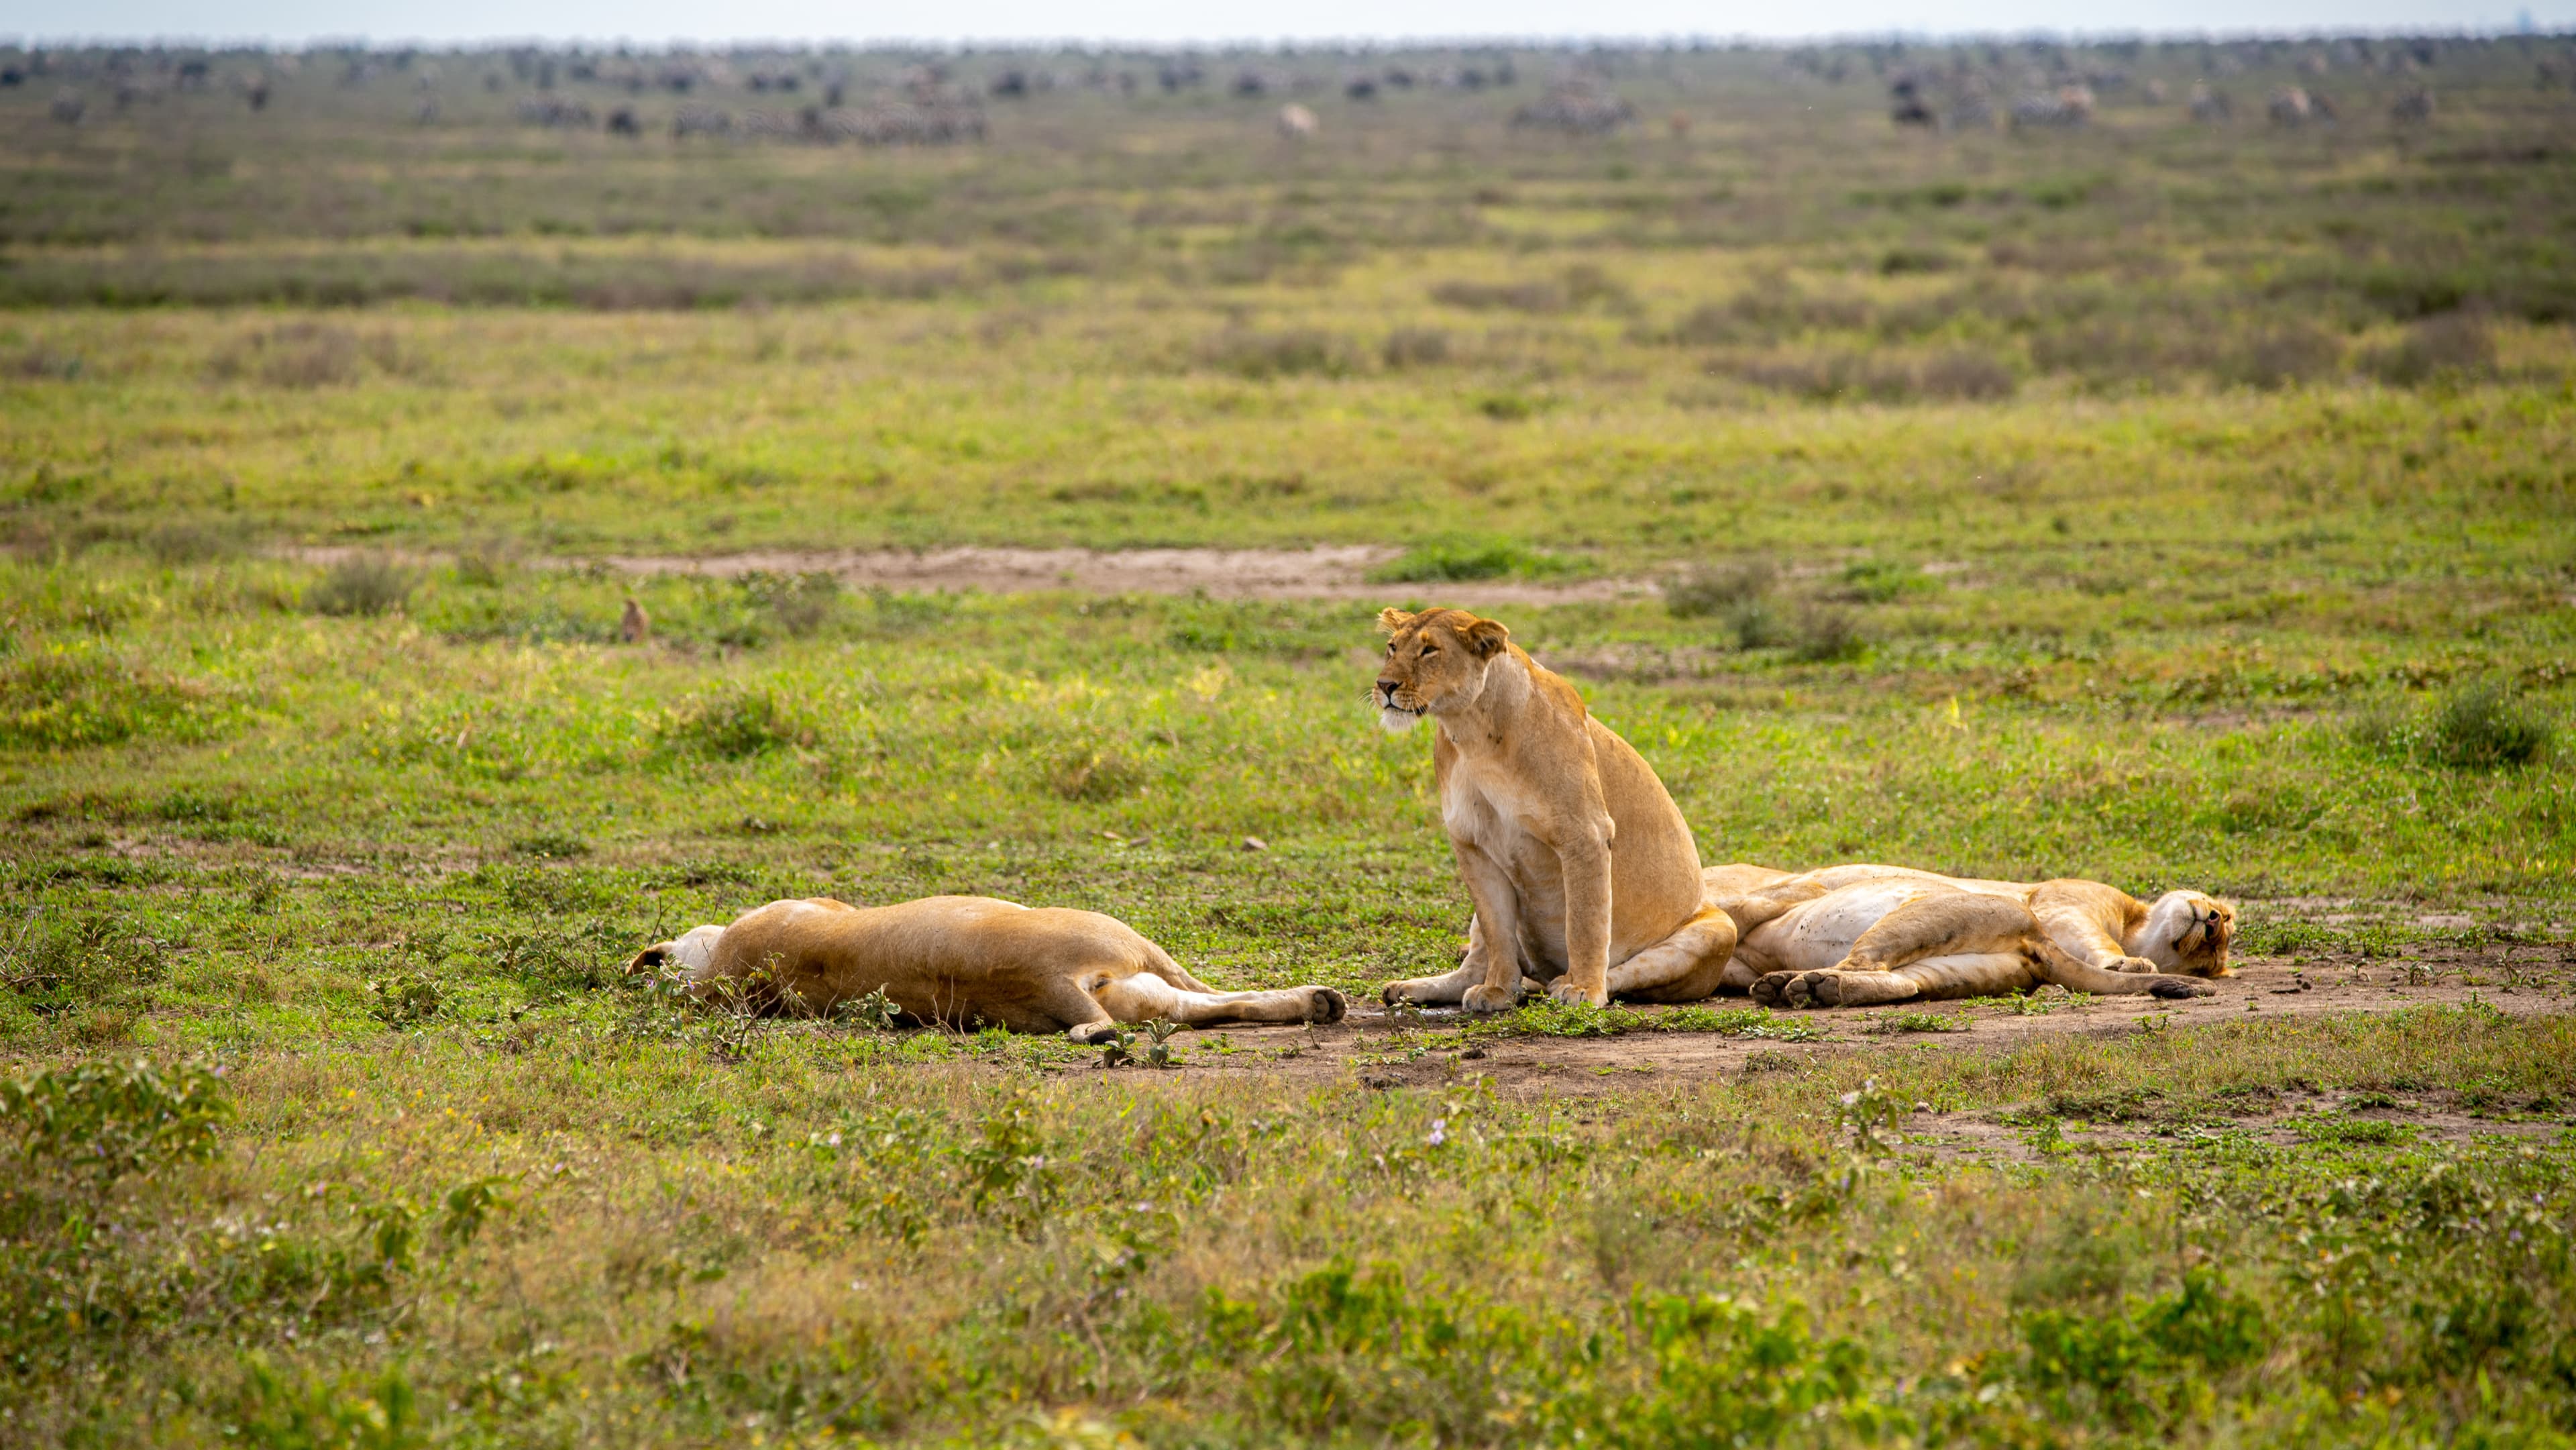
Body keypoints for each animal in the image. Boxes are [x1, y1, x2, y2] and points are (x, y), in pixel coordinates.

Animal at [1372, 607, 1738, 1009]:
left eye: (1430, 651)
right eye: (1393, 647)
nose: (1384, 685)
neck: (1471, 731)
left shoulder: (1586, 833)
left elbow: (1585, 921)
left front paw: (1583, 989)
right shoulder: (1471, 844)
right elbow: (1497, 930)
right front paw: (1498, 989)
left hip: (1719, 930)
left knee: (1626, 975)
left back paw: (1567, 984)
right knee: (1474, 963)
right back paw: (1411, 989)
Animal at [1699, 864, 2234, 1008]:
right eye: (2226, 921)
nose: (2213, 923)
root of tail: (2035, 936)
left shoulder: (1776, 895)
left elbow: (1735, 910)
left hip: (1922, 914)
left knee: (1865, 962)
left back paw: (1802, 985)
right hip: (1956, 968)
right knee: (1901, 983)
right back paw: (1803, 986)